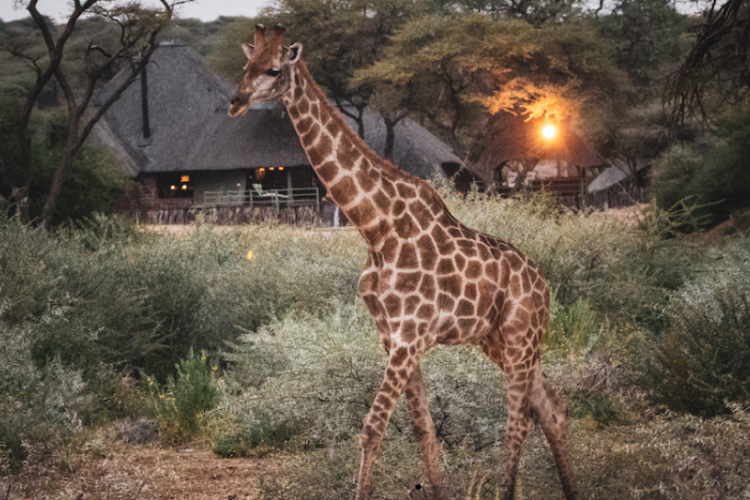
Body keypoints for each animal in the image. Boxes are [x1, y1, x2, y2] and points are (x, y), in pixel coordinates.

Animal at [229, 25, 580, 500]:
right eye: (245, 65)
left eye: (272, 69)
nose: (236, 101)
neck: (374, 226)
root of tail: (544, 286)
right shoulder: (392, 335)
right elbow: (422, 427)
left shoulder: (409, 335)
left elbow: (372, 427)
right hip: (500, 341)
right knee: (552, 409)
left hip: (520, 336)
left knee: (519, 420)